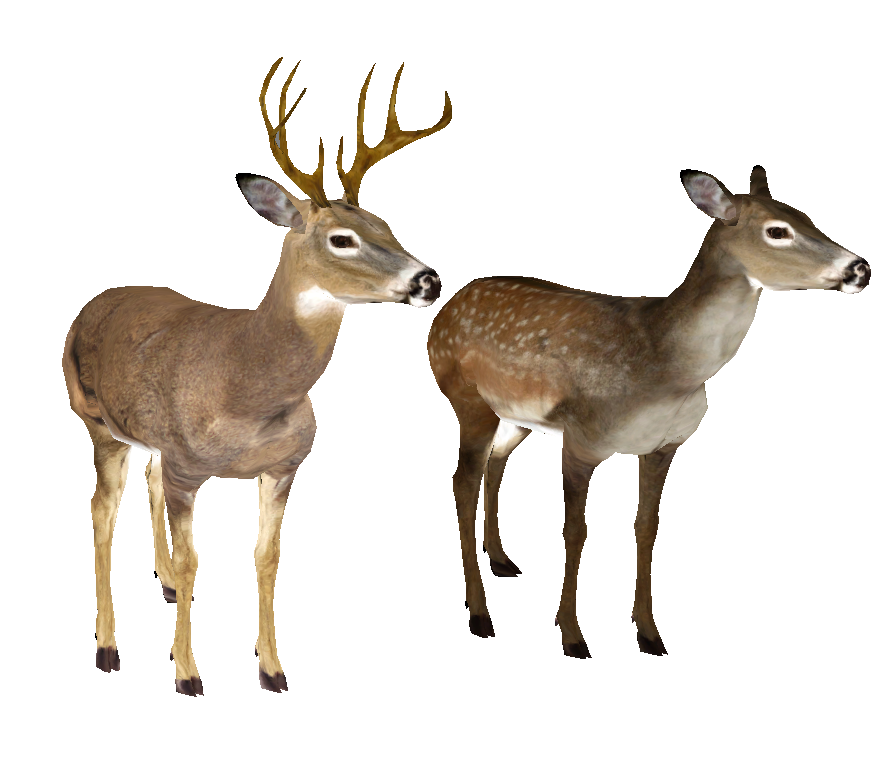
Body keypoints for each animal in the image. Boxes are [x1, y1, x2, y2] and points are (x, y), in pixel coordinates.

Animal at [62, 58, 451, 695]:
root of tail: (93, 302)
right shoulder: (189, 468)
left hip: (148, 439)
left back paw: (164, 586)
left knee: (146, 479)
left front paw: (271, 667)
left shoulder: (285, 465)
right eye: (341, 238)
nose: (429, 280)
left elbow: (267, 558)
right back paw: (107, 645)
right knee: (100, 510)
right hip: (94, 421)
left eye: (387, 224)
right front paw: (188, 674)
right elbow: (197, 559)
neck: (245, 383)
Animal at [427, 166, 871, 658]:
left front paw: (648, 632)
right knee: (462, 482)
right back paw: (479, 612)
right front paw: (572, 634)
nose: (860, 268)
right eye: (777, 231)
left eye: (807, 216)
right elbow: (576, 530)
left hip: (516, 416)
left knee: (497, 463)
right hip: (467, 398)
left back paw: (502, 560)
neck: (665, 366)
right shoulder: (582, 439)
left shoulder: (663, 445)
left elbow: (647, 526)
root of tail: (448, 307)